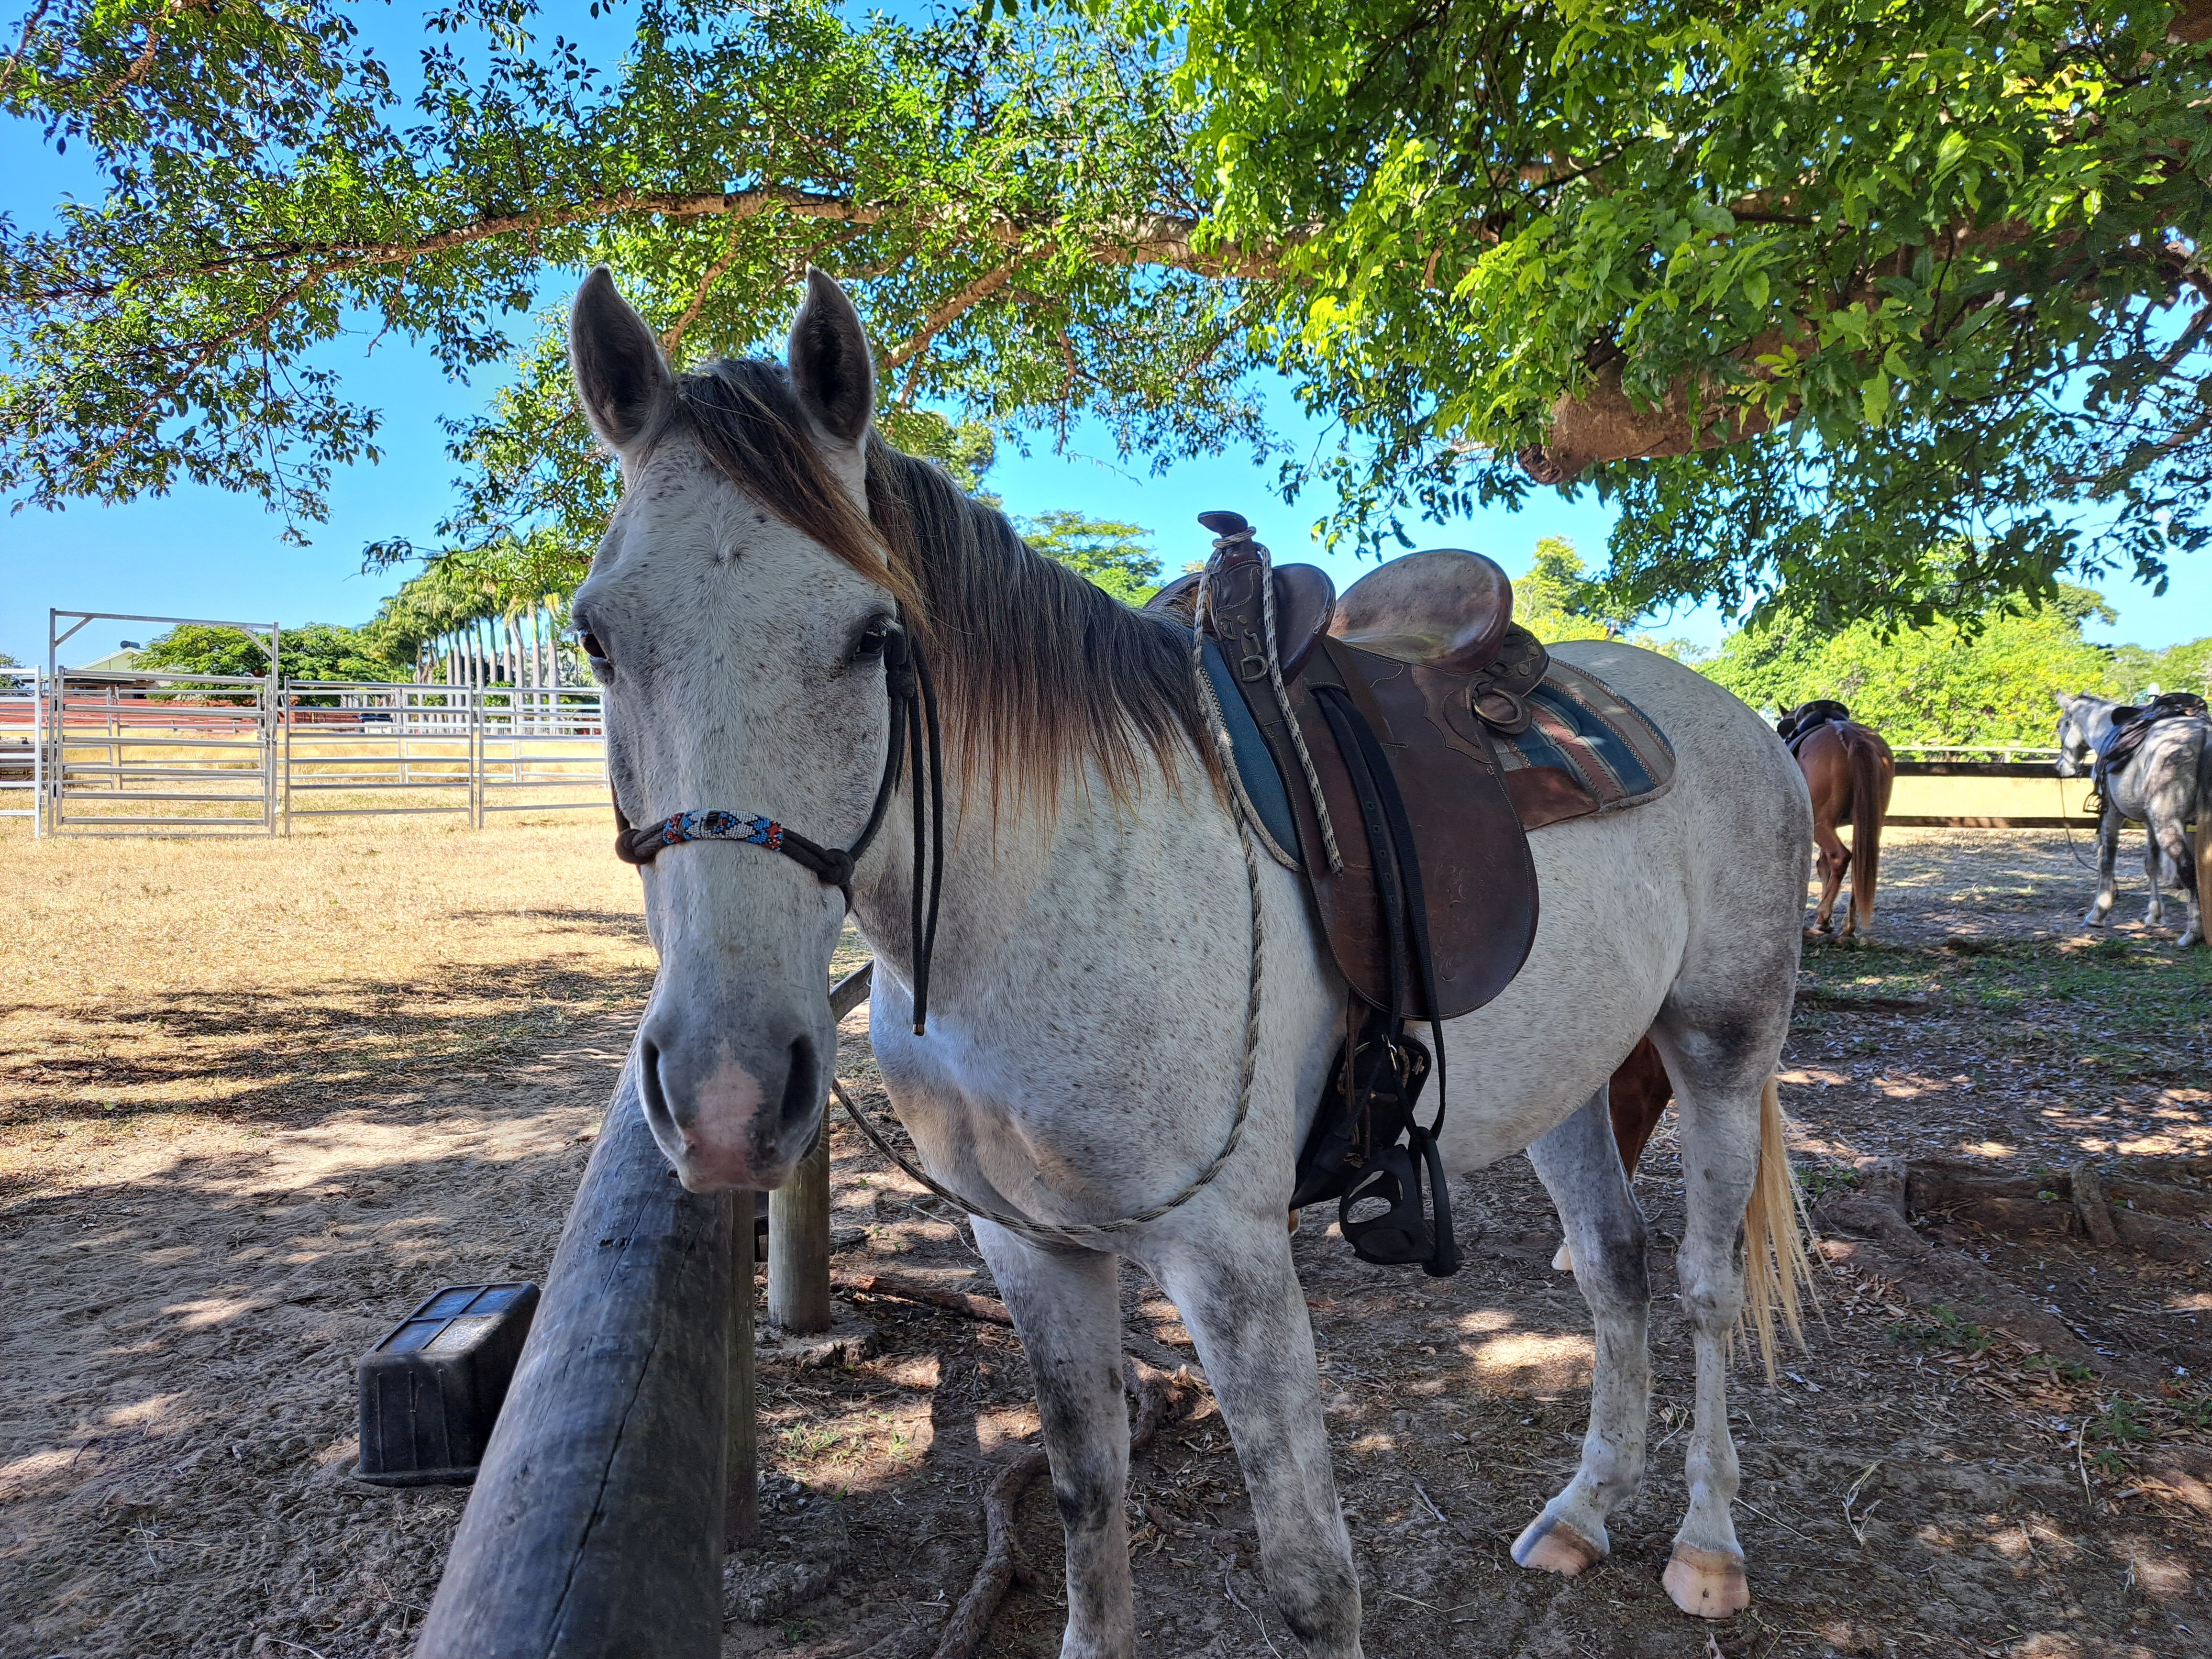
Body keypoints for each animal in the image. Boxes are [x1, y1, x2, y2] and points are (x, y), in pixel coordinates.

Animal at [566, 266, 1814, 1654]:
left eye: (872, 637)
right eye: (597, 639)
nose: (726, 1093)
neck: (1035, 903)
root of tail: (1724, 716)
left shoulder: (1231, 1264)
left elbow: (1314, 1581)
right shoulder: (1029, 1248)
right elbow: (1086, 1489)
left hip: (1722, 1047)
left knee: (1704, 1282)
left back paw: (1706, 1542)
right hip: (1569, 1078)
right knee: (1612, 1267)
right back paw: (1586, 1511)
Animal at [1770, 699, 1893, 942]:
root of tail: (1853, 736)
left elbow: (1824, 864)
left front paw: (1825, 919)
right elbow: (1823, 866)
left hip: (1821, 824)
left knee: (1841, 857)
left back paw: (1824, 914)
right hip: (1869, 825)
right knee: (1859, 867)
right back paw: (1848, 924)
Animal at [2053, 690, 2212, 947]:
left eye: (2061, 725)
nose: (2061, 767)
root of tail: (2204, 733)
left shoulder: (2111, 814)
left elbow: (2106, 860)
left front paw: (2098, 913)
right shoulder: (2149, 823)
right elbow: (2152, 866)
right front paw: (2155, 915)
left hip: (2167, 824)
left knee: (2187, 870)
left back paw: (2193, 932)